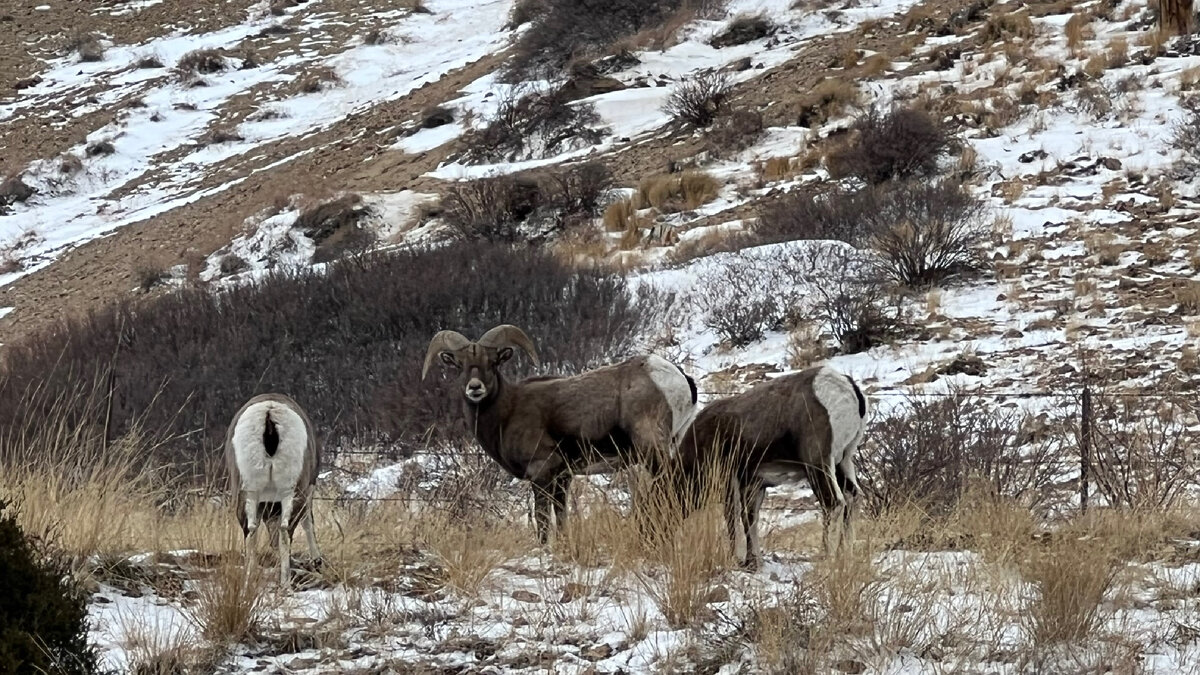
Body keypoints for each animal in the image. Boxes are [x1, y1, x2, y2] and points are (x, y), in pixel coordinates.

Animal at [224, 393, 321, 583]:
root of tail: (268, 412)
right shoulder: (309, 490)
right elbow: (308, 522)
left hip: (247, 493)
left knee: (250, 530)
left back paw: (249, 580)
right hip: (291, 492)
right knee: (285, 531)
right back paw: (285, 582)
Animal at [427, 324, 700, 540]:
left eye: (492, 362)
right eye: (460, 365)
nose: (475, 388)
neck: (508, 412)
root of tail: (677, 378)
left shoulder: (541, 472)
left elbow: (542, 520)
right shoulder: (562, 478)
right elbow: (561, 518)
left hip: (653, 450)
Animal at [676, 362, 864, 566]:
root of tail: (847, 388)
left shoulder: (729, 481)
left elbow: (733, 517)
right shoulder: (754, 485)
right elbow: (750, 519)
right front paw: (753, 560)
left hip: (819, 465)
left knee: (834, 504)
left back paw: (827, 558)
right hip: (842, 463)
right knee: (852, 498)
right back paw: (845, 555)